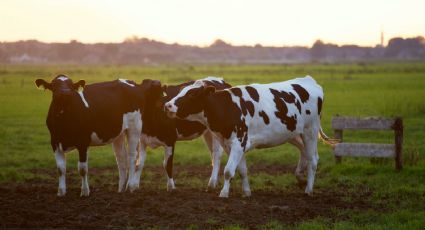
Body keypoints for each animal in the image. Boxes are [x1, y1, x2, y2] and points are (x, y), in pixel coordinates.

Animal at [164, 75, 336, 198]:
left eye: (192, 94)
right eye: (181, 91)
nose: (167, 105)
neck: (227, 107)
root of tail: (308, 80)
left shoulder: (239, 142)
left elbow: (228, 171)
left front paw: (224, 193)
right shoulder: (231, 145)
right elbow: (242, 170)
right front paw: (246, 192)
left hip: (310, 131)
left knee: (313, 159)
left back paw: (309, 189)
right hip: (293, 133)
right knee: (304, 152)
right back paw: (300, 177)